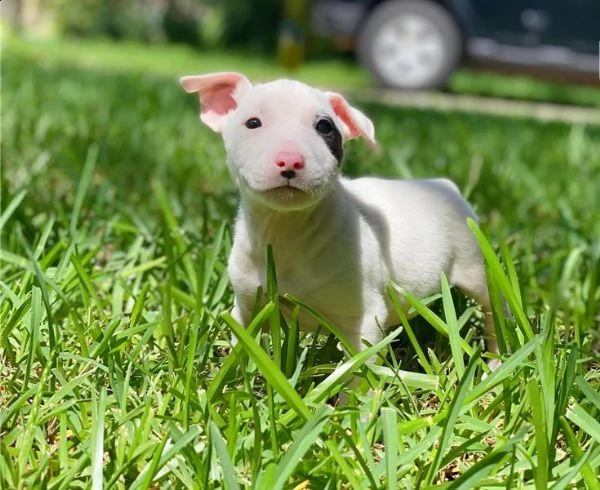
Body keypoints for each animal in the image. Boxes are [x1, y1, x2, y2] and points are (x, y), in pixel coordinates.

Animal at [182, 73, 496, 360]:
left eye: (324, 127)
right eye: (252, 123)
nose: (290, 160)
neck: (287, 229)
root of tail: (443, 185)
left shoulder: (366, 317)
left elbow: (360, 366)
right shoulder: (247, 306)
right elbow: (243, 341)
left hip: (474, 263)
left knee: (493, 309)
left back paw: (495, 358)